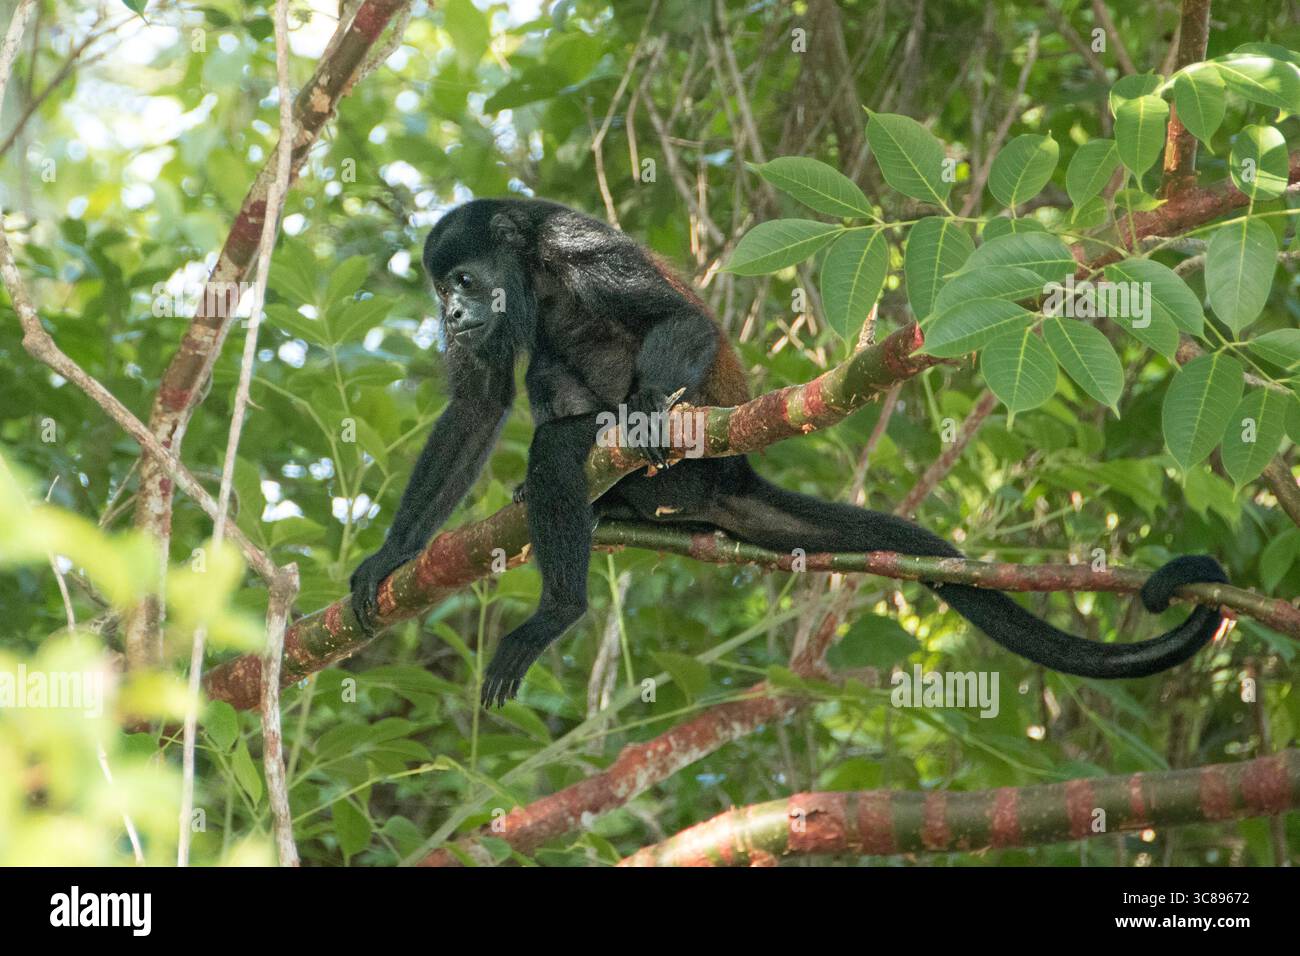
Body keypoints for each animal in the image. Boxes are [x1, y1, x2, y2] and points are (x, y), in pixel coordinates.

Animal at [349, 197, 1229, 708]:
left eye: (463, 280)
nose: (451, 314)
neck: (529, 267)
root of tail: (734, 476)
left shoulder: (575, 248)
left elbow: (681, 322)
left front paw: (645, 410)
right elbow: (477, 404)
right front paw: (392, 553)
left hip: (700, 467)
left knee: (563, 441)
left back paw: (560, 604)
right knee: (544, 384)